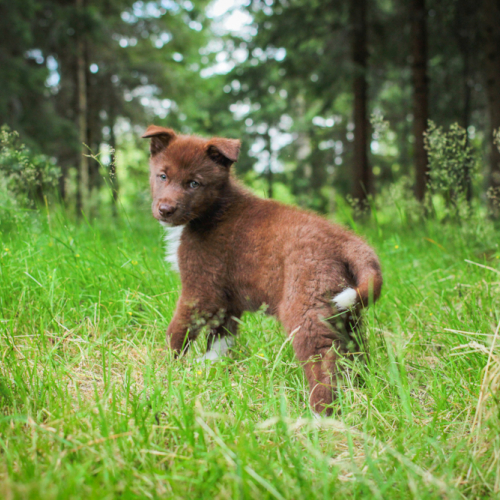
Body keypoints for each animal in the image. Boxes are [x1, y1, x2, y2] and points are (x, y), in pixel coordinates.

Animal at [142, 124, 382, 414]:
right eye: (162, 176)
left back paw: (319, 413)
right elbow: (221, 338)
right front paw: (210, 368)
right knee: (354, 352)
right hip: (346, 311)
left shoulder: (202, 290)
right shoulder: (225, 300)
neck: (212, 209)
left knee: (323, 360)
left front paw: (165, 368)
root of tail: (348, 241)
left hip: (305, 307)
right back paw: (360, 390)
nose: (165, 210)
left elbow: (178, 330)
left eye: (194, 183)